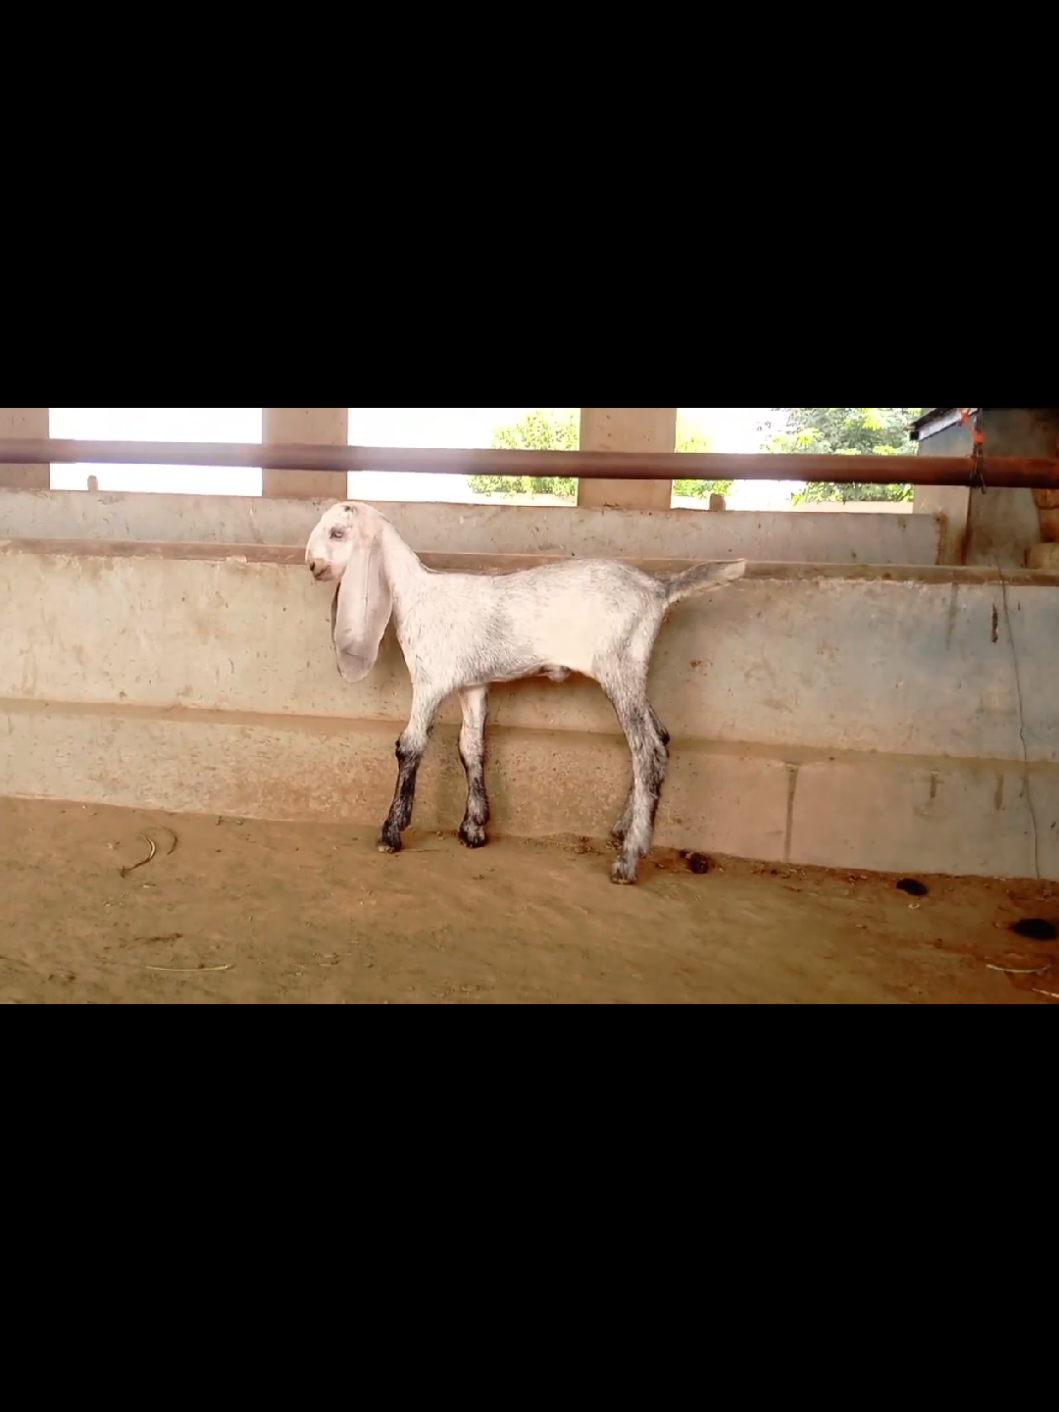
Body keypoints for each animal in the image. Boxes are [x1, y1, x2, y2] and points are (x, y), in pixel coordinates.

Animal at [305, 501, 745, 884]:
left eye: (338, 532)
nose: (311, 565)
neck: (416, 595)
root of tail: (658, 588)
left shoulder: (431, 681)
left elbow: (410, 747)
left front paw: (391, 831)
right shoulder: (472, 684)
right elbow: (471, 747)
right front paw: (473, 829)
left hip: (619, 667)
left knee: (647, 749)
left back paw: (628, 860)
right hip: (633, 672)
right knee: (662, 737)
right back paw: (625, 828)